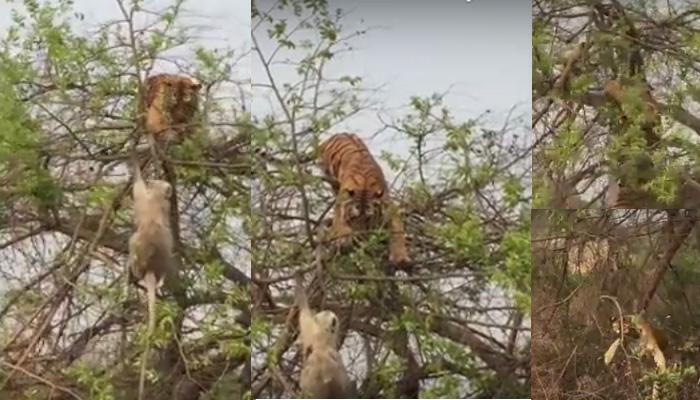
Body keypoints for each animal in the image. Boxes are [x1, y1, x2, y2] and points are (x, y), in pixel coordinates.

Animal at [318, 133, 410, 268]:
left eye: (368, 219)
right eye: (353, 218)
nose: (360, 238)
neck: (364, 185)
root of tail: (338, 134)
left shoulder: (389, 207)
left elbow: (397, 230)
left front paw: (400, 257)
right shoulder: (341, 204)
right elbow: (339, 224)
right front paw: (343, 238)